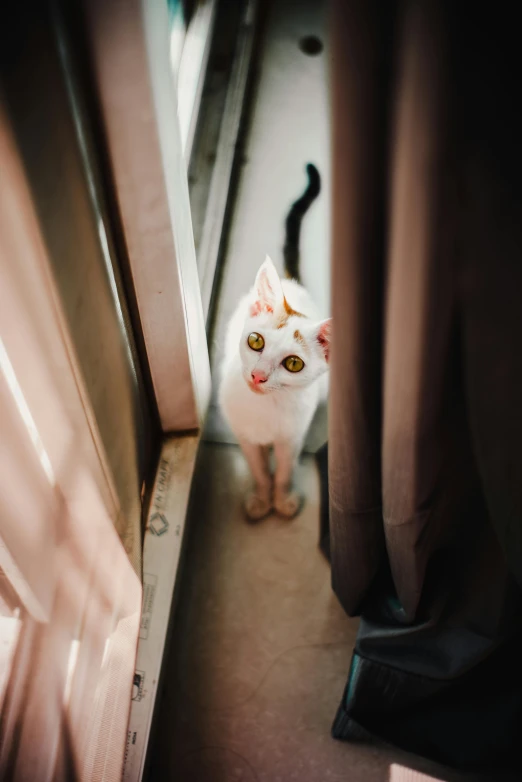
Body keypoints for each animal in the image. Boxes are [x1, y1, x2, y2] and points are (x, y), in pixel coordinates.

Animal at [218, 163, 330, 524]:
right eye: (256, 341)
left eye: (293, 363)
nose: (258, 376)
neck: (265, 410)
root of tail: (290, 282)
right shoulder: (244, 437)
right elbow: (257, 468)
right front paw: (260, 498)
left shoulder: (290, 438)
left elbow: (282, 470)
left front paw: (282, 499)